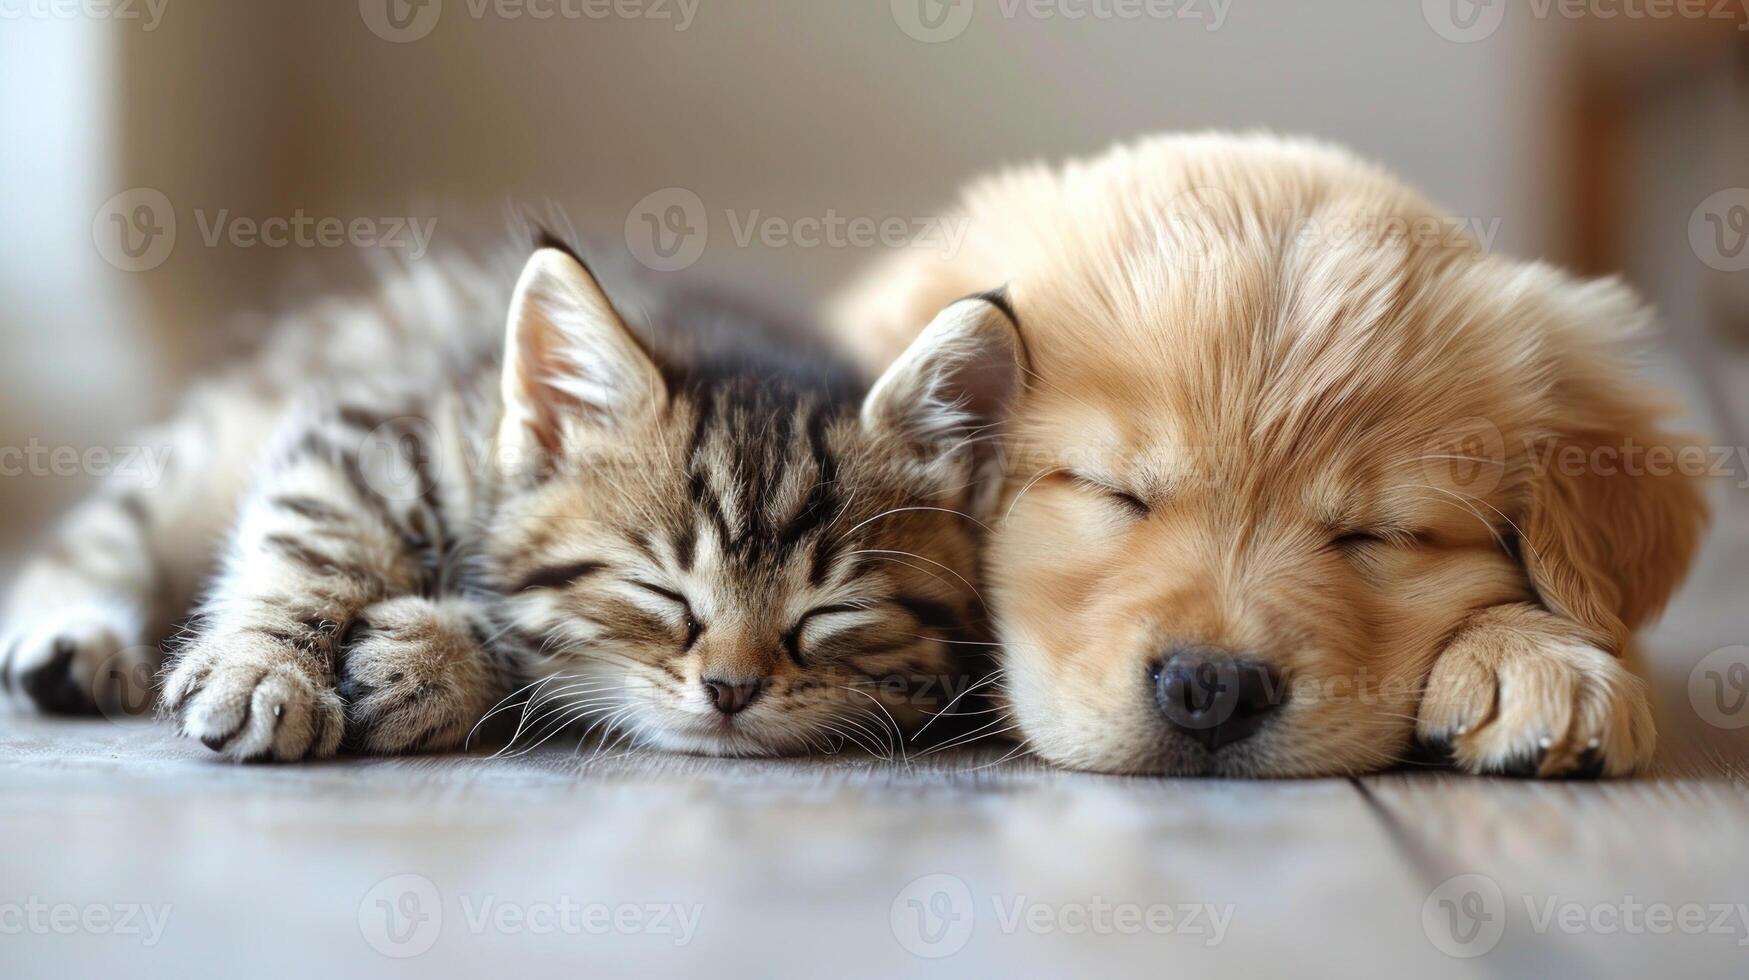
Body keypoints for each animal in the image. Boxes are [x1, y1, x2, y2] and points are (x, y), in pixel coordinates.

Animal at [0, 239, 1021, 766]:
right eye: (660, 593)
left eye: (828, 614)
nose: (731, 690)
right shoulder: (375, 434)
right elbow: (311, 549)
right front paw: (264, 670)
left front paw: (428, 661)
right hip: (208, 446)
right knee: (106, 533)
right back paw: (71, 642)